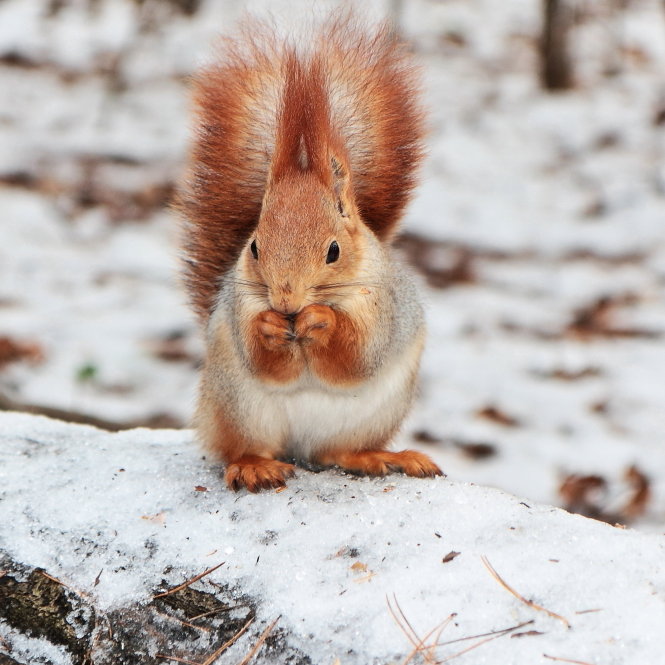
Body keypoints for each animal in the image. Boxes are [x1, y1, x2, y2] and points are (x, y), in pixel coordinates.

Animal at [179, 9, 444, 488]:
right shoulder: (239, 306)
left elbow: (355, 358)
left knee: (336, 452)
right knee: (241, 448)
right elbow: (266, 362)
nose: (286, 302)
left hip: (372, 414)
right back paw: (255, 466)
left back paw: (382, 457)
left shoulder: (381, 307)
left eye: (334, 251)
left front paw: (322, 320)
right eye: (255, 247)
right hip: (237, 407)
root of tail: (297, 448)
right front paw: (269, 325)